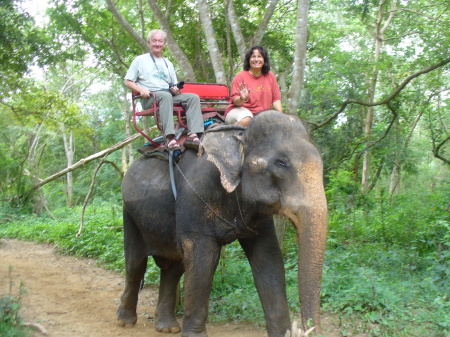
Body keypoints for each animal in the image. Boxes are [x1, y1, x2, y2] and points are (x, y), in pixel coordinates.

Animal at [116, 109, 326, 334]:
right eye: (281, 163)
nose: (305, 329)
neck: (239, 135)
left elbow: (268, 257)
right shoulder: (195, 195)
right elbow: (202, 258)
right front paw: (195, 335)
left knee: (173, 267)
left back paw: (167, 328)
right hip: (129, 212)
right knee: (136, 264)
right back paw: (125, 321)